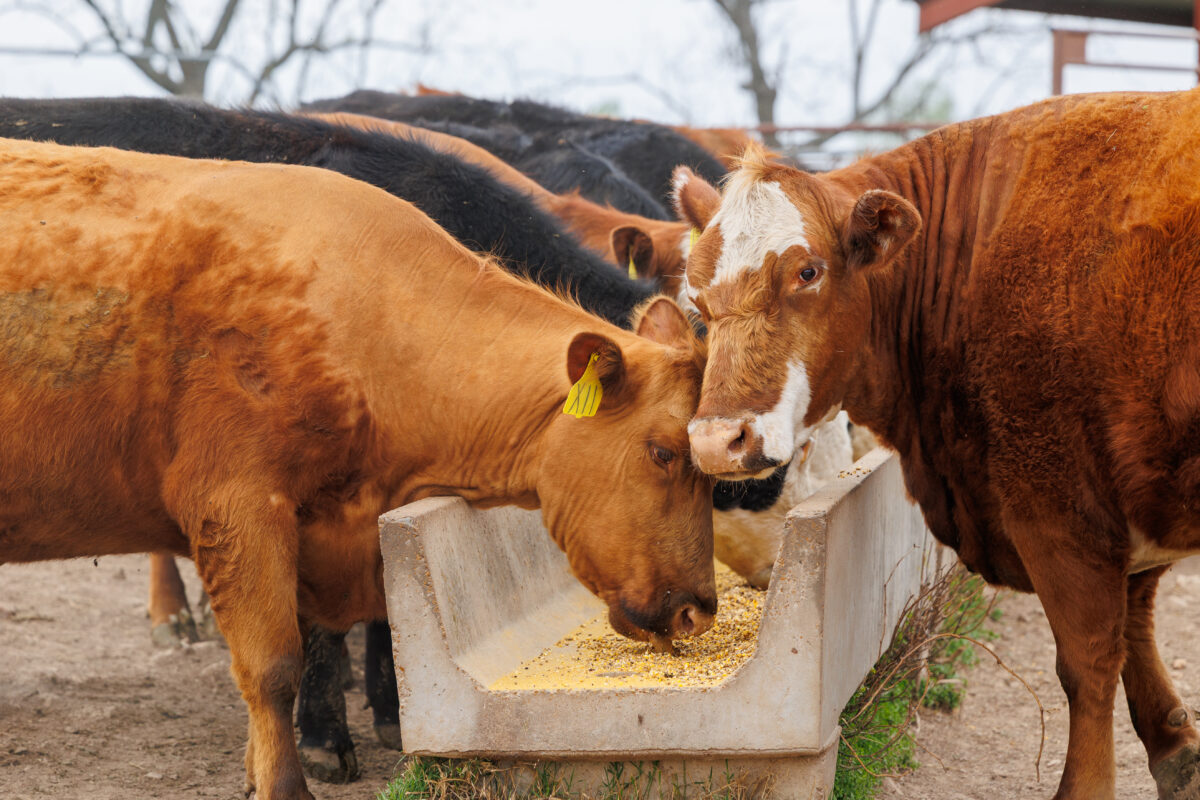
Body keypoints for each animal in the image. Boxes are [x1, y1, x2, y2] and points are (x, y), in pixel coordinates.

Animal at [673, 89, 1200, 799]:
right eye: (696, 296)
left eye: (808, 271)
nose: (715, 441)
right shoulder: (1126, 492)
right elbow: (1136, 621)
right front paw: (1176, 749)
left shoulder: (1056, 504)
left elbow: (1089, 659)